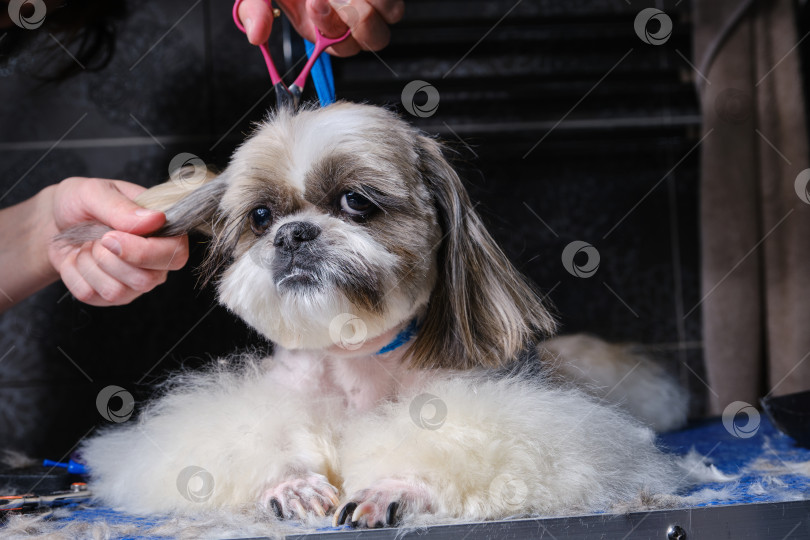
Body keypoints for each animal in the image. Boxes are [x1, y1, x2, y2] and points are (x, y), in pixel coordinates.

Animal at [74, 101, 688, 528]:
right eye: (261, 215)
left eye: (356, 201)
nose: (293, 234)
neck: (355, 354)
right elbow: (261, 437)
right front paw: (292, 484)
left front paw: (388, 486)